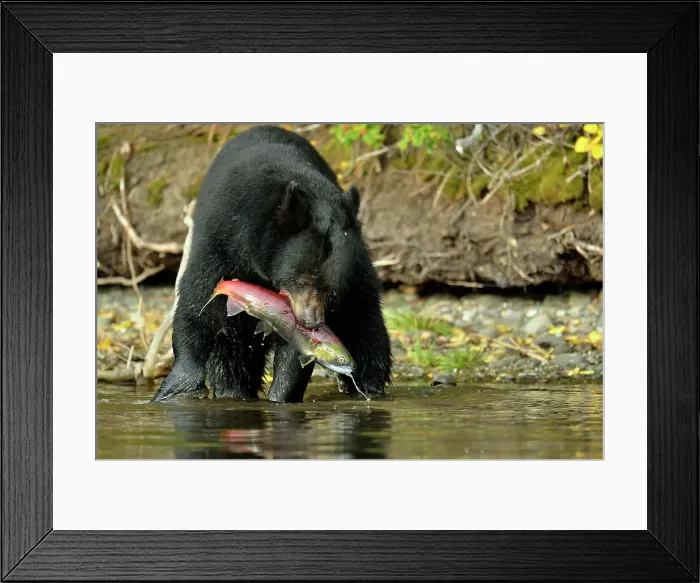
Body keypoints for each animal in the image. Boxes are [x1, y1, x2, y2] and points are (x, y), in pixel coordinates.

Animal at [152, 125, 392, 404]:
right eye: (303, 280)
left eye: (330, 290)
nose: (312, 322)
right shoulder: (220, 239)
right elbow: (197, 305)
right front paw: (179, 385)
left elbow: (294, 347)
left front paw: (280, 396)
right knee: (231, 349)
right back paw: (233, 391)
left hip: (358, 270)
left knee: (366, 325)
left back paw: (369, 385)